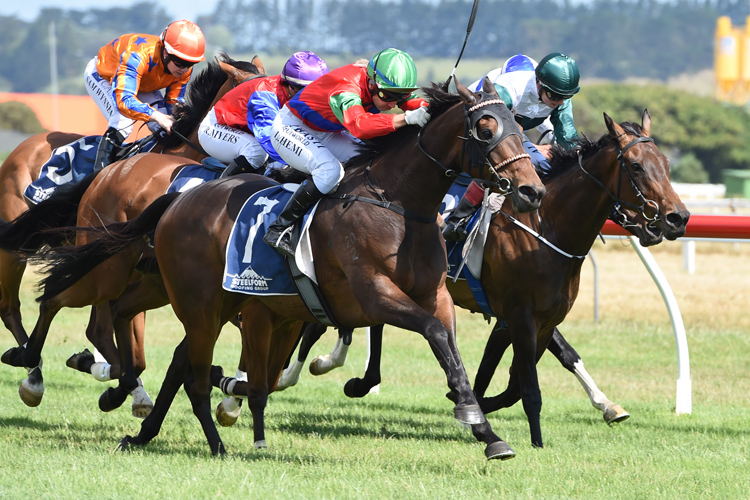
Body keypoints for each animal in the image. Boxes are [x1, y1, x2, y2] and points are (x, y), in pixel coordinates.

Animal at [32, 80, 548, 458]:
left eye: (519, 126)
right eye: (485, 127)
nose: (532, 191)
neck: (398, 205)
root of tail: (177, 201)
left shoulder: (435, 296)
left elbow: (451, 350)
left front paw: (487, 432)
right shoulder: (374, 294)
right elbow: (435, 336)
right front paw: (473, 417)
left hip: (201, 299)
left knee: (142, 330)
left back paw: (136, 414)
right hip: (184, 299)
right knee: (85, 310)